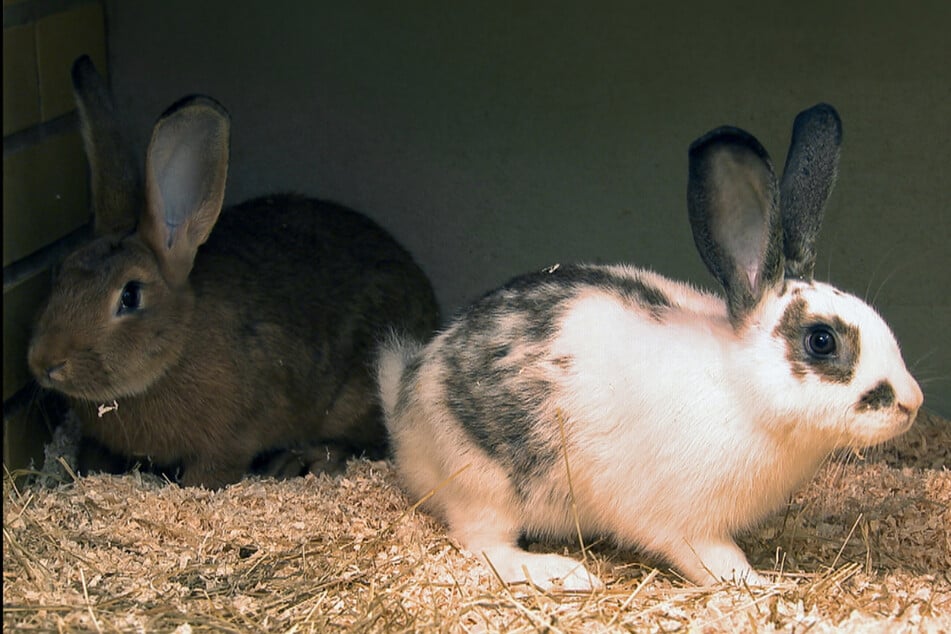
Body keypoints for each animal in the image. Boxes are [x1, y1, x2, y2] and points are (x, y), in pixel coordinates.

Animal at [28, 55, 438, 488]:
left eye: (130, 294)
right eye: (60, 274)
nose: (45, 363)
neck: (176, 348)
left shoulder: (231, 439)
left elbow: (209, 473)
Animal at [380, 102, 924, 588]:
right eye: (821, 340)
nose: (911, 402)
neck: (740, 387)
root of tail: (406, 399)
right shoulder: (688, 524)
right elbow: (717, 561)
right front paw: (765, 584)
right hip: (483, 481)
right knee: (484, 544)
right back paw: (563, 574)